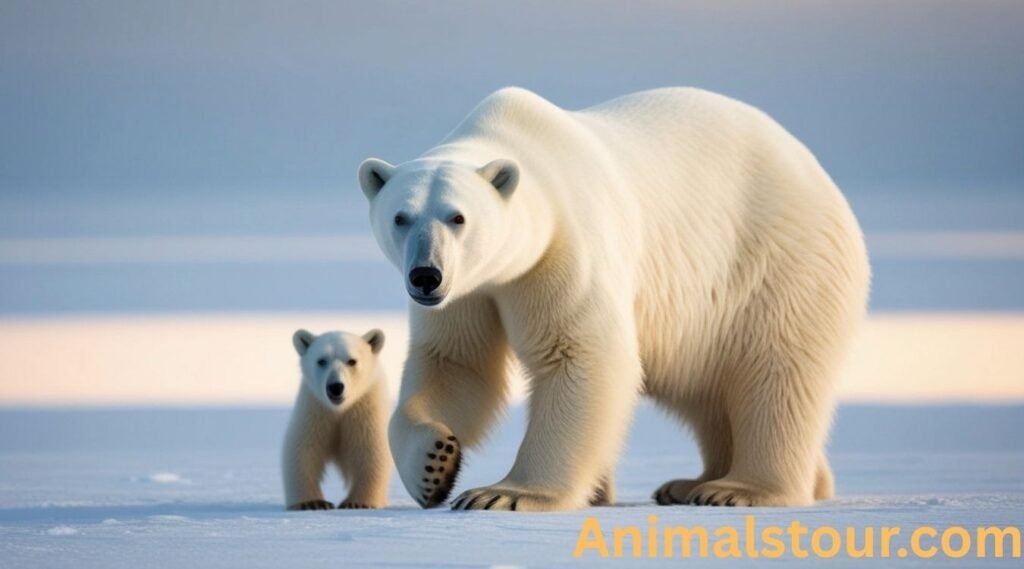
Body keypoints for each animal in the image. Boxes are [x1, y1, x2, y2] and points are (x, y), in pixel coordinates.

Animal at [282, 328, 391, 510]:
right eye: (321, 360)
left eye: (352, 361)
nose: (335, 387)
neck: (339, 410)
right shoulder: (315, 410)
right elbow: (303, 450)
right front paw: (312, 503)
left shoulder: (364, 411)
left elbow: (371, 450)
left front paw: (357, 503)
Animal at [357, 87, 869, 511]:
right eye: (401, 217)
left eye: (458, 217)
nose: (426, 276)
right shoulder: (472, 290)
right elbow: (456, 364)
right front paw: (434, 466)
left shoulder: (566, 249)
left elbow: (582, 354)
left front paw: (503, 494)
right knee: (708, 390)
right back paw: (694, 484)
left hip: (779, 264)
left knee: (775, 374)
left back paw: (738, 488)